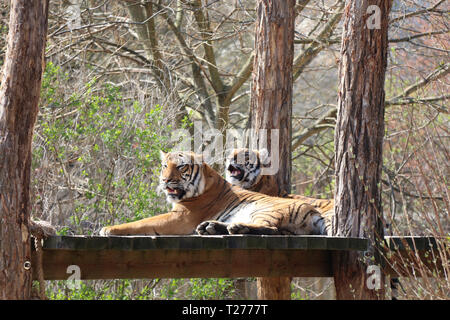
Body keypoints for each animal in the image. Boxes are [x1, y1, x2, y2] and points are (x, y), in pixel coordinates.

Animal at [99, 149, 330, 235]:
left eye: (180, 166)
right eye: (165, 166)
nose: (165, 180)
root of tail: (313, 210)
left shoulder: (181, 217)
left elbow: (141, 223)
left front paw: (109, 228)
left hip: (264, 210)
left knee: (270, 229)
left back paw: (234, 227)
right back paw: (211, 227)